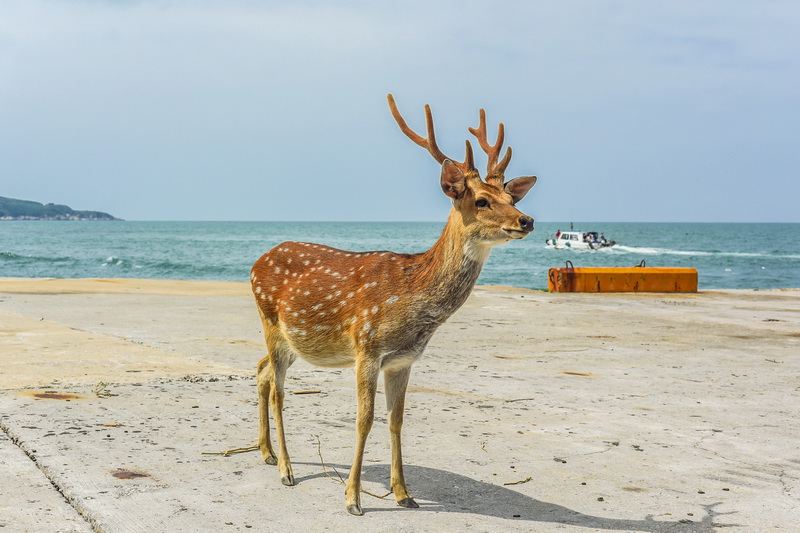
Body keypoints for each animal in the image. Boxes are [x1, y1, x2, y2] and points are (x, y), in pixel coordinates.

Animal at [250, 94, 537, 515]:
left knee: (261, 371)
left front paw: (404, 493)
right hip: (270, 320)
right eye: (482, 201)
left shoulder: (403, 360)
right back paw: (286, 469)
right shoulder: (366, 346)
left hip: (290, 341)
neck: (412, 301)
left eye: (512, 197)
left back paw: (267, 453)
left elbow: (397, 420)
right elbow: (364, 419)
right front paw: (353, 499)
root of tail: (257, 261)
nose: (526, 220)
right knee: (279, 391)